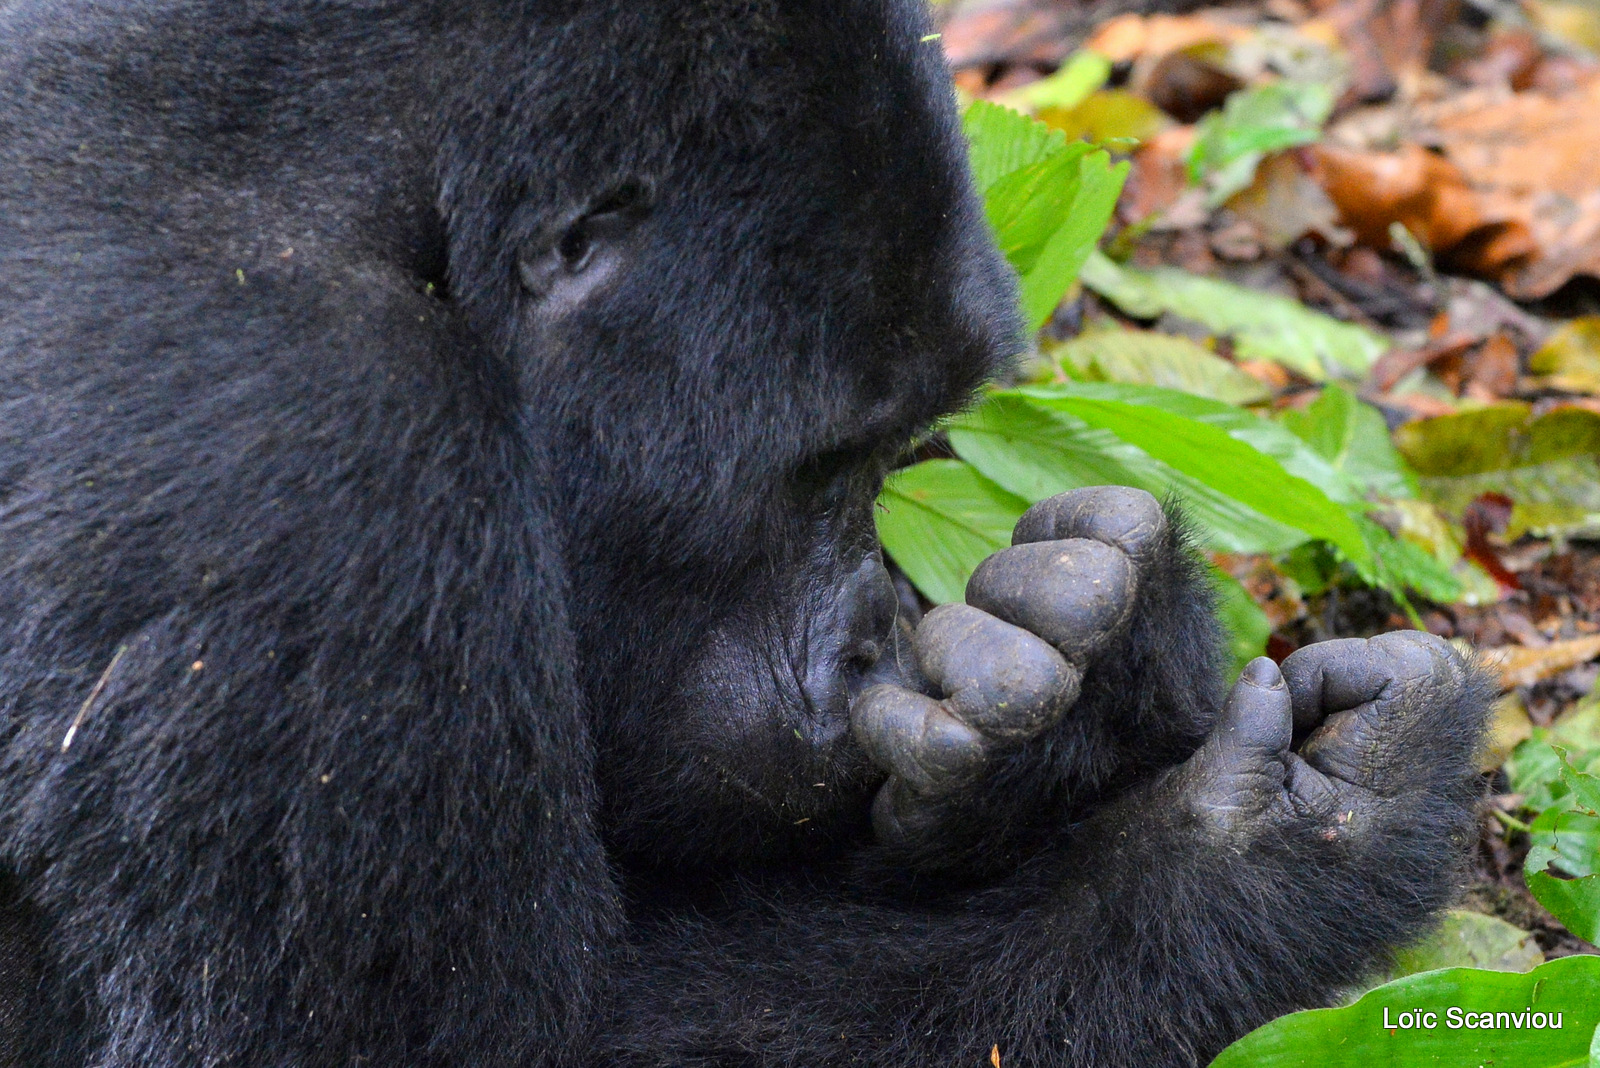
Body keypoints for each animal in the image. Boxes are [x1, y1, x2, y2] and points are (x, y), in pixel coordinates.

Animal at [3, 2, 1484, 1068]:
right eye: (824, 466)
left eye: (892, 466)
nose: (874, 635)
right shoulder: (313, 474)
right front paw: (1271, 854)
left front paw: (1090, 681)